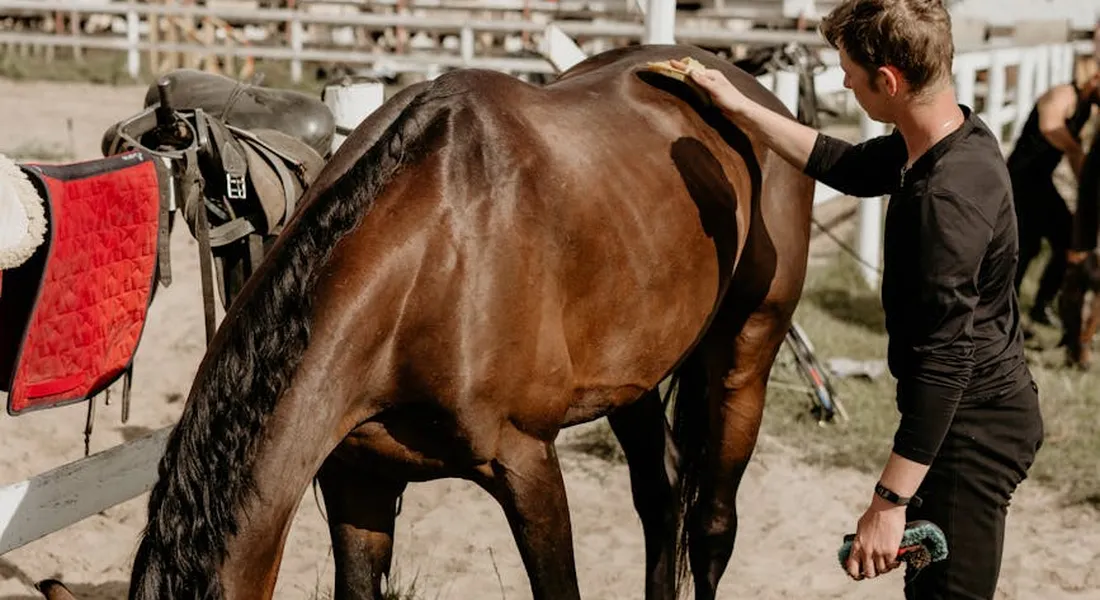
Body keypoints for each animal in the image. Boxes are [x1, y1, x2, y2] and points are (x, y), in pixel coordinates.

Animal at [38, 42, 814, 600]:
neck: (430, 263)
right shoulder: (357, 480)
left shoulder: (527, 463)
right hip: (633, 377)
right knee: (661, 498)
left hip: (746, 350)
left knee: (711, 524)